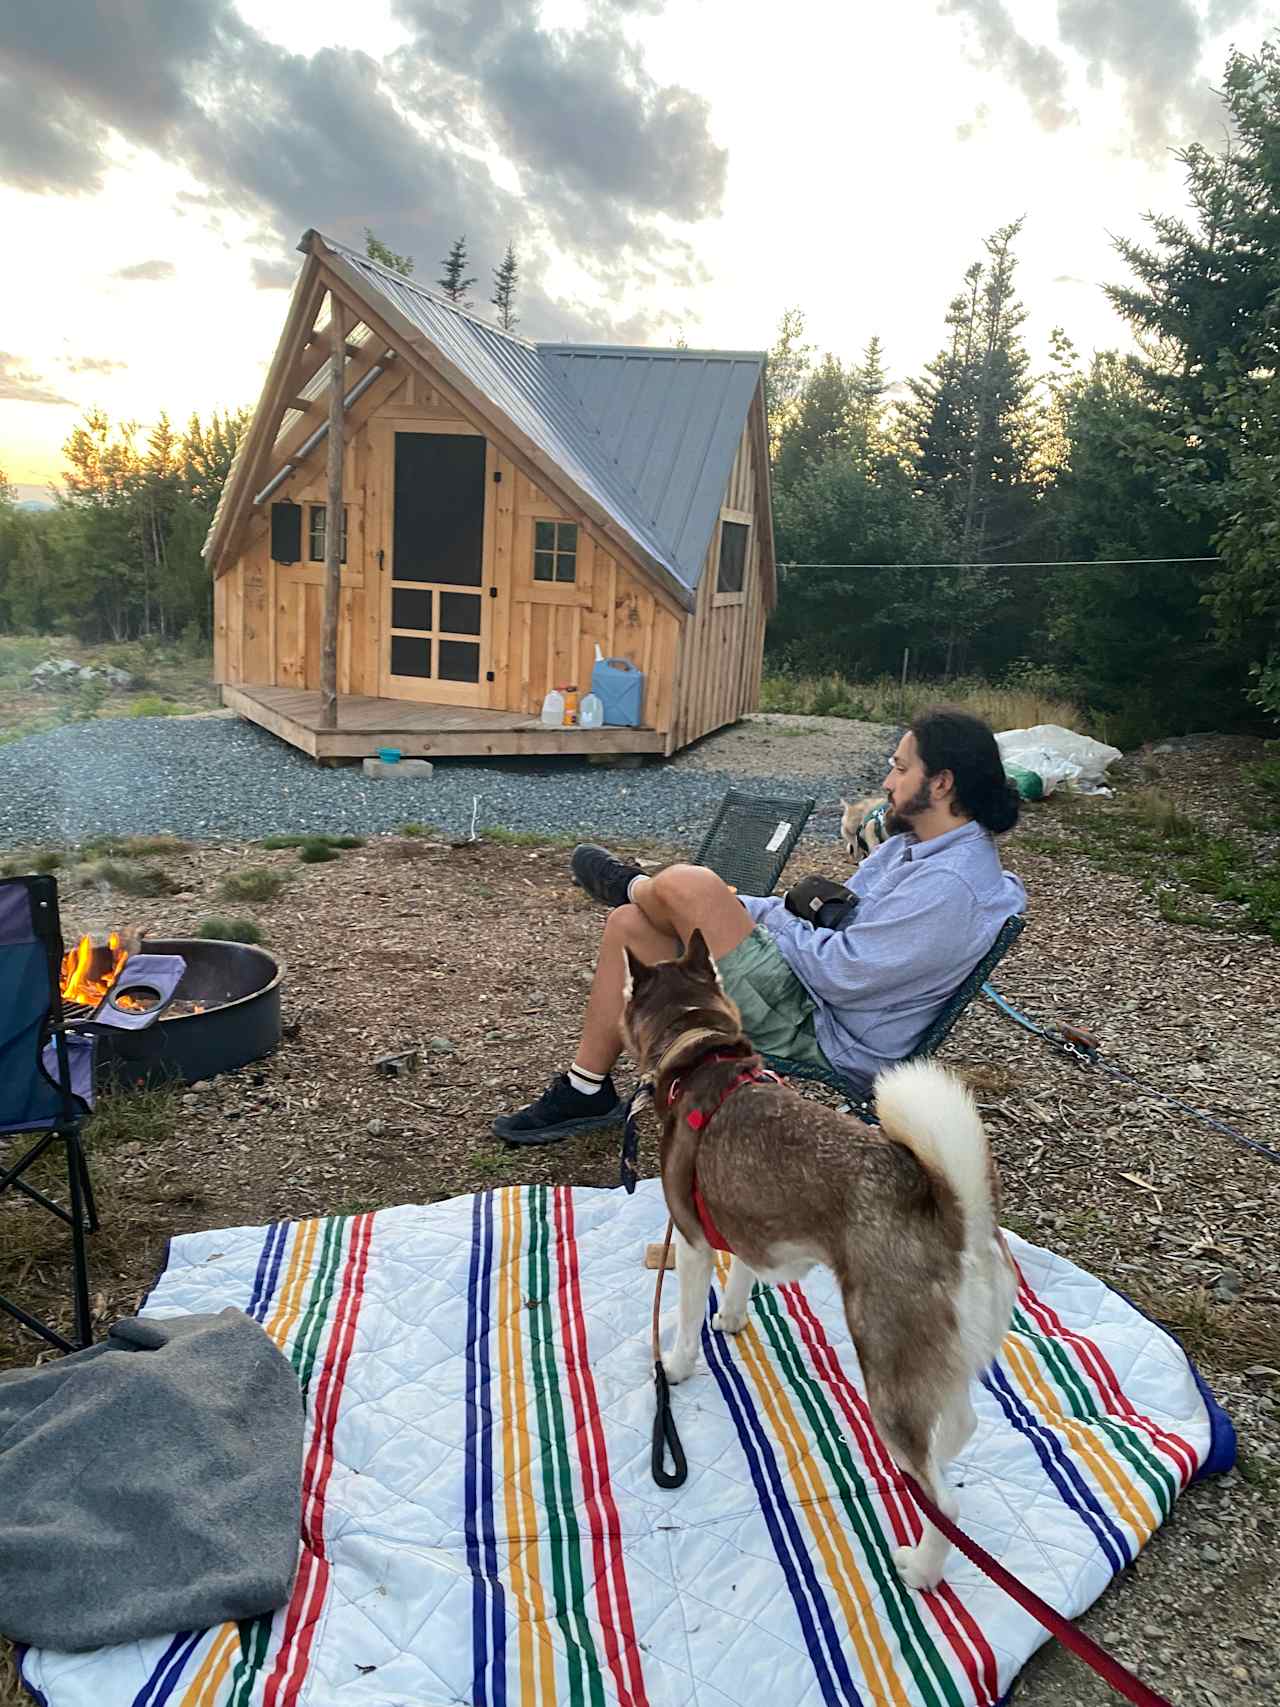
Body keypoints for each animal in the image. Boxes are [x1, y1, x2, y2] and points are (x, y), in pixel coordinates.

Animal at [624, 928, 1024, 1590]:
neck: (700, 1050)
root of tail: (958, 1216)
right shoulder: (748, 1229)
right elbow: (742, 1283)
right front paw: (731, 1320)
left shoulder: (693, 1242)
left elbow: (683, 1323)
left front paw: (677, 1366)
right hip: (932, 1364)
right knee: (957, 1428)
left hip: (886, 1366)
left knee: (944, 1503)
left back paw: (919, 1567)